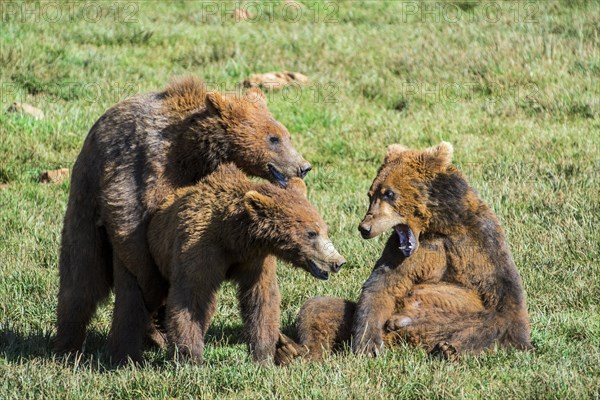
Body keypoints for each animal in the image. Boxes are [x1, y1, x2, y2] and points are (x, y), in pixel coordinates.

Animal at [55, 74, 314, 362]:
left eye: (285, 135)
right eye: (273, 138)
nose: (303, 167)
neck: (191, 150)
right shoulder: (146, 164)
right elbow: (136, 226)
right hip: (86, 201)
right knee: (82, 275)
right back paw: (71, 344)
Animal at [146, 162, 346, 362]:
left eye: (325, 229)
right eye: (311, 233)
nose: (338, 261)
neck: (232, 237)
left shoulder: (255, 259)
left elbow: (261, 298)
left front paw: (264, 353)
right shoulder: (200, 250)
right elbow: (191, 297)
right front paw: (190, 355)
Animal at [274, 142, 532, 364]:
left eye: (389, 193)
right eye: (371, 194)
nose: (364, 227)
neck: (436, 227)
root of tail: (401, 341)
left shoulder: (477, 239)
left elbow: (503, 296)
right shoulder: (401, 251)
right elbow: (381, 286)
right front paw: (368, 346)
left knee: (484, 322)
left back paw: (447, 349)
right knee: (319, 308)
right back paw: (294, 351)